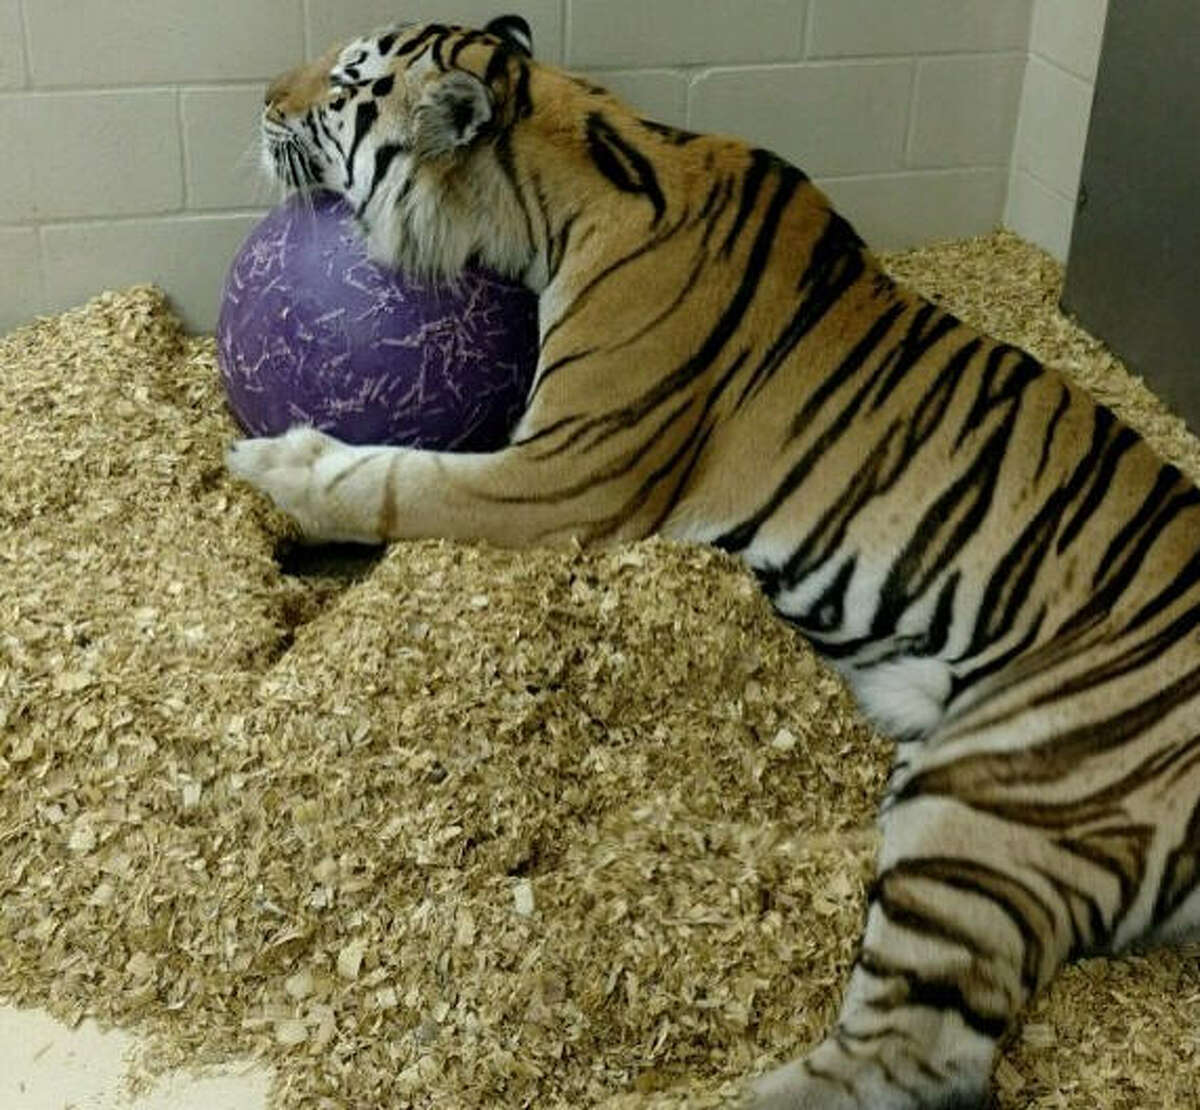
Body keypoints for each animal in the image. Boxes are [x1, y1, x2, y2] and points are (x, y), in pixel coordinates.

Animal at [226, 10, 1200, 1108]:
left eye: (345, 84)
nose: (261, 99)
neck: (571, 163)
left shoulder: (564, 481)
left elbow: (394, 479)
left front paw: (275, 465)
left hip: (993, 799)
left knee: (920, 1053)